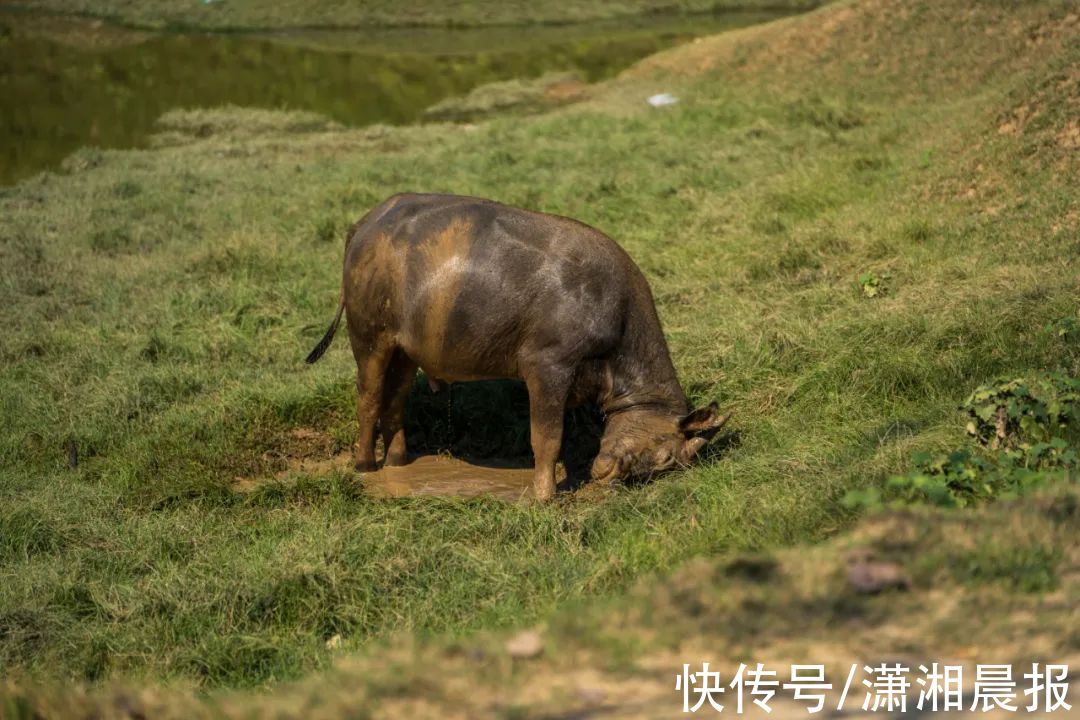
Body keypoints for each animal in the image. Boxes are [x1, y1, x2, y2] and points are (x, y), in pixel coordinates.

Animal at [304, 195, 730, 500]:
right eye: (665, 455)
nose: (607, 473)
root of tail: (364, 224)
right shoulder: (547, 363)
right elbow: (546, 436)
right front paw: (545, 497)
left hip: (406, 350)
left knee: (395, 398)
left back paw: (398, 461)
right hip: (369, 336)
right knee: (370, 396)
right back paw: (364, 465)